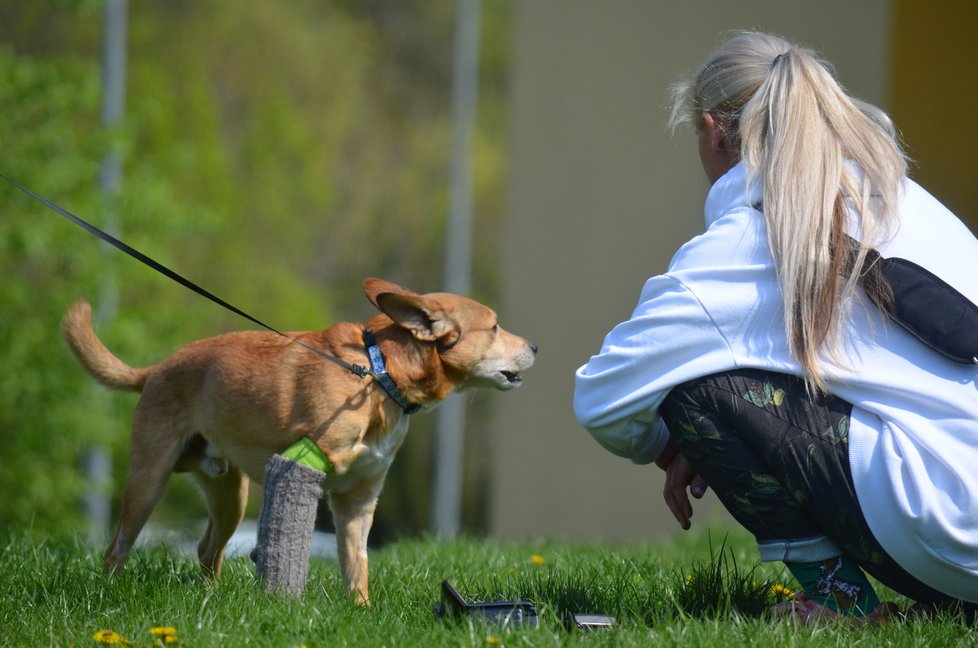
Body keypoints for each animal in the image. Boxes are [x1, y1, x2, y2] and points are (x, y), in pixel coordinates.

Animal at [63, 278, 532, 604]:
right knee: (116, 548)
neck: (377, 374)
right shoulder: (307, 464)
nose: (537, 346)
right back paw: (110, 593)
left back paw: (210, 600)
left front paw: (359, 610)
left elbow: (356, 563)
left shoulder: (358, 500)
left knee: (206, 550)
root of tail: (156, 370)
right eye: (494, 327)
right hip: (149, 479)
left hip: (230, 495)